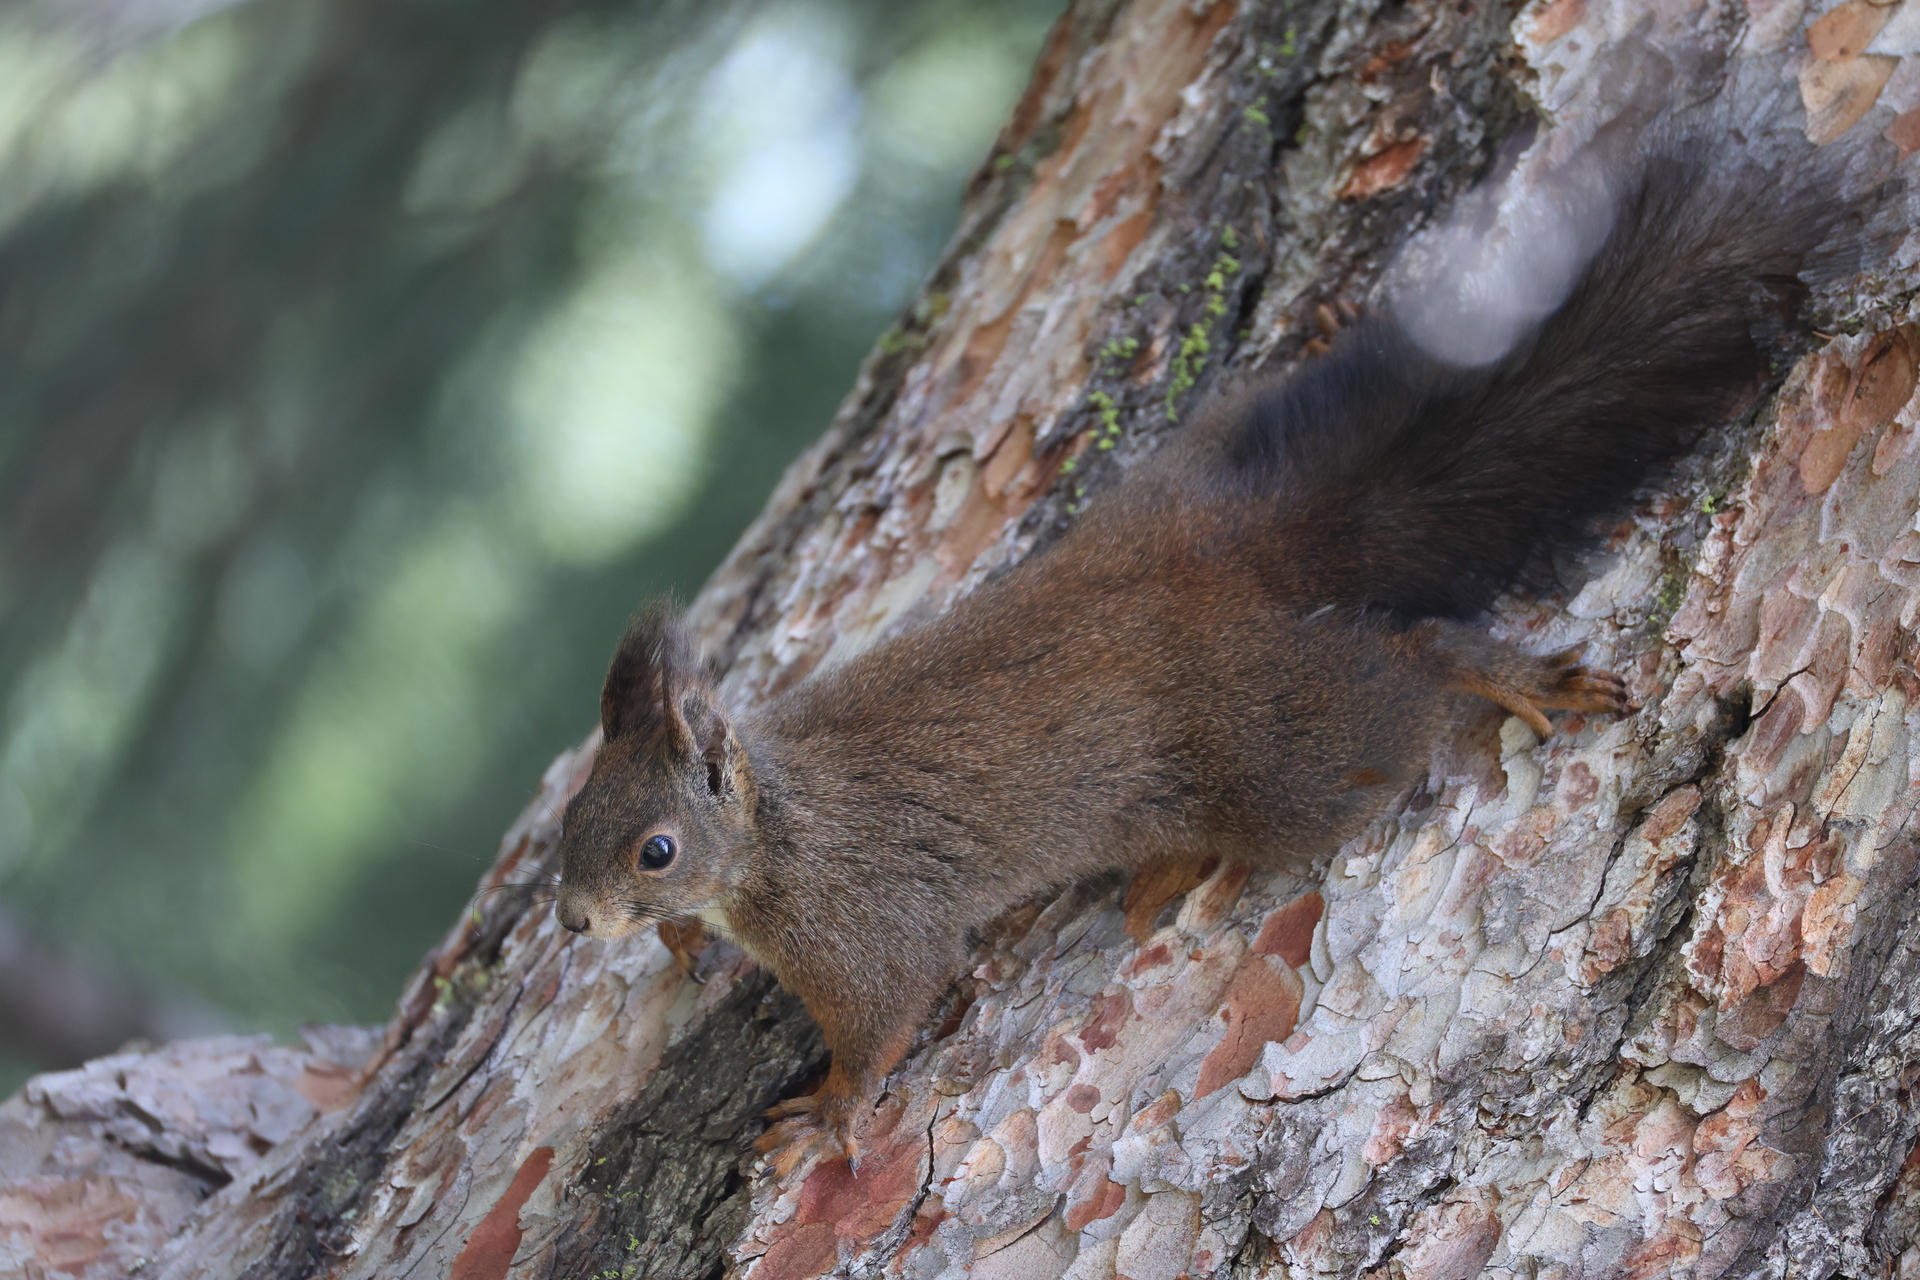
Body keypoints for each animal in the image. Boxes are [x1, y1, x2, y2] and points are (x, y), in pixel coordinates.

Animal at [552, 91, 1884, 1171]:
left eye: (655, 849)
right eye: (572, 819)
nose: (570, 920)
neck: (775, 822)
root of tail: (1229, 561)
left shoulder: (858, 923)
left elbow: (883, 1016)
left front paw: (822, 1112)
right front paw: (683, 957)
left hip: (1281, 751)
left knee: (1408, 669)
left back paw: (1501, 675)